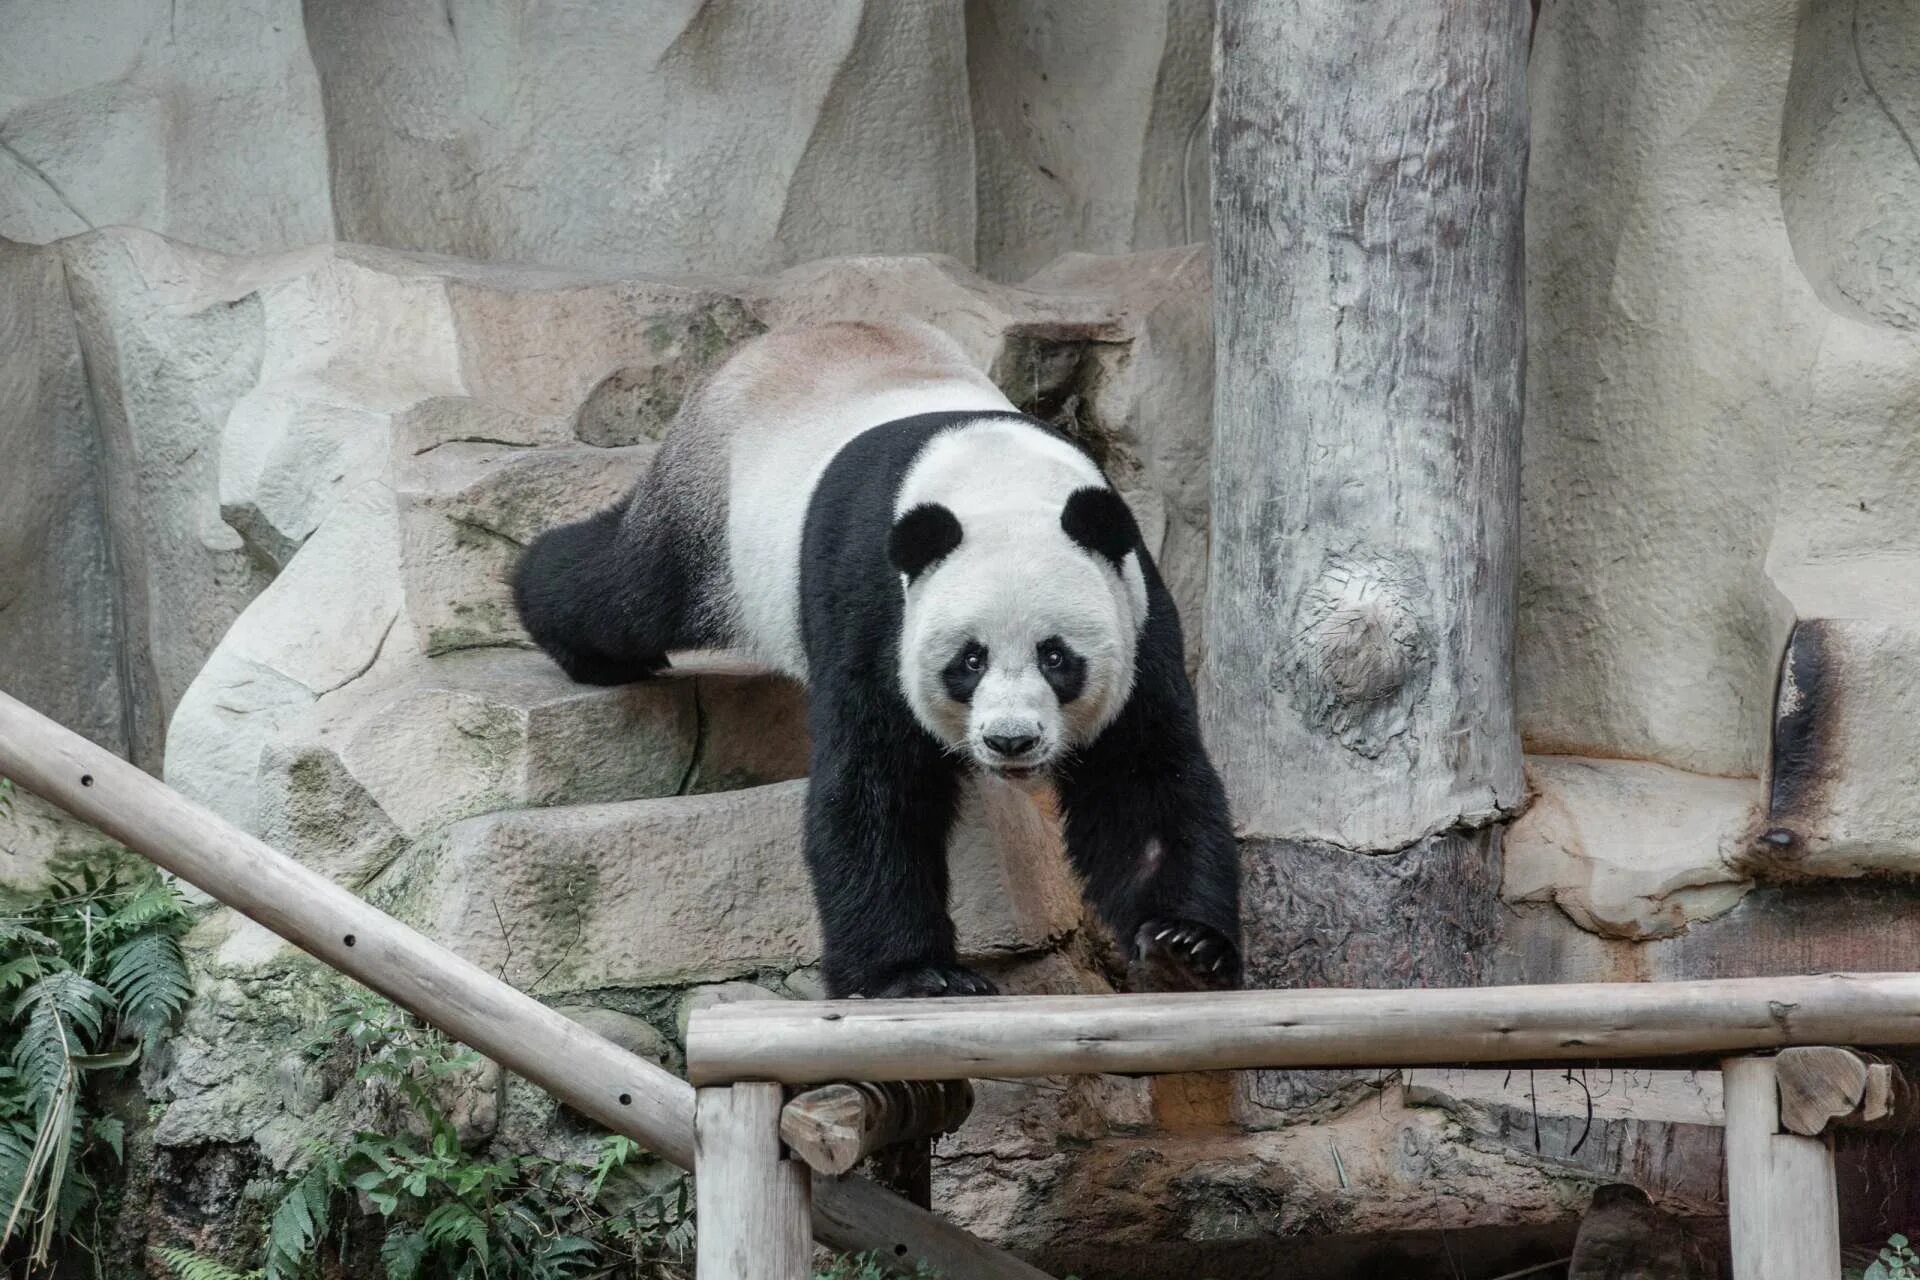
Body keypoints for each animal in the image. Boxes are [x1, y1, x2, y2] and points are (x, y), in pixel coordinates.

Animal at [510, 320, 1236, 997]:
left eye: (1057, 657)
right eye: (968, 661)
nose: (1011, 741)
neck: (999, 484)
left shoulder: (1133, 601)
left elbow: (1141, 775)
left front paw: (1183, 945)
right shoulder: (875, 597)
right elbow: (875, 780)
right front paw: (915, 974)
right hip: (713, 517)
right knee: (632, 587)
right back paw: (565, 625)